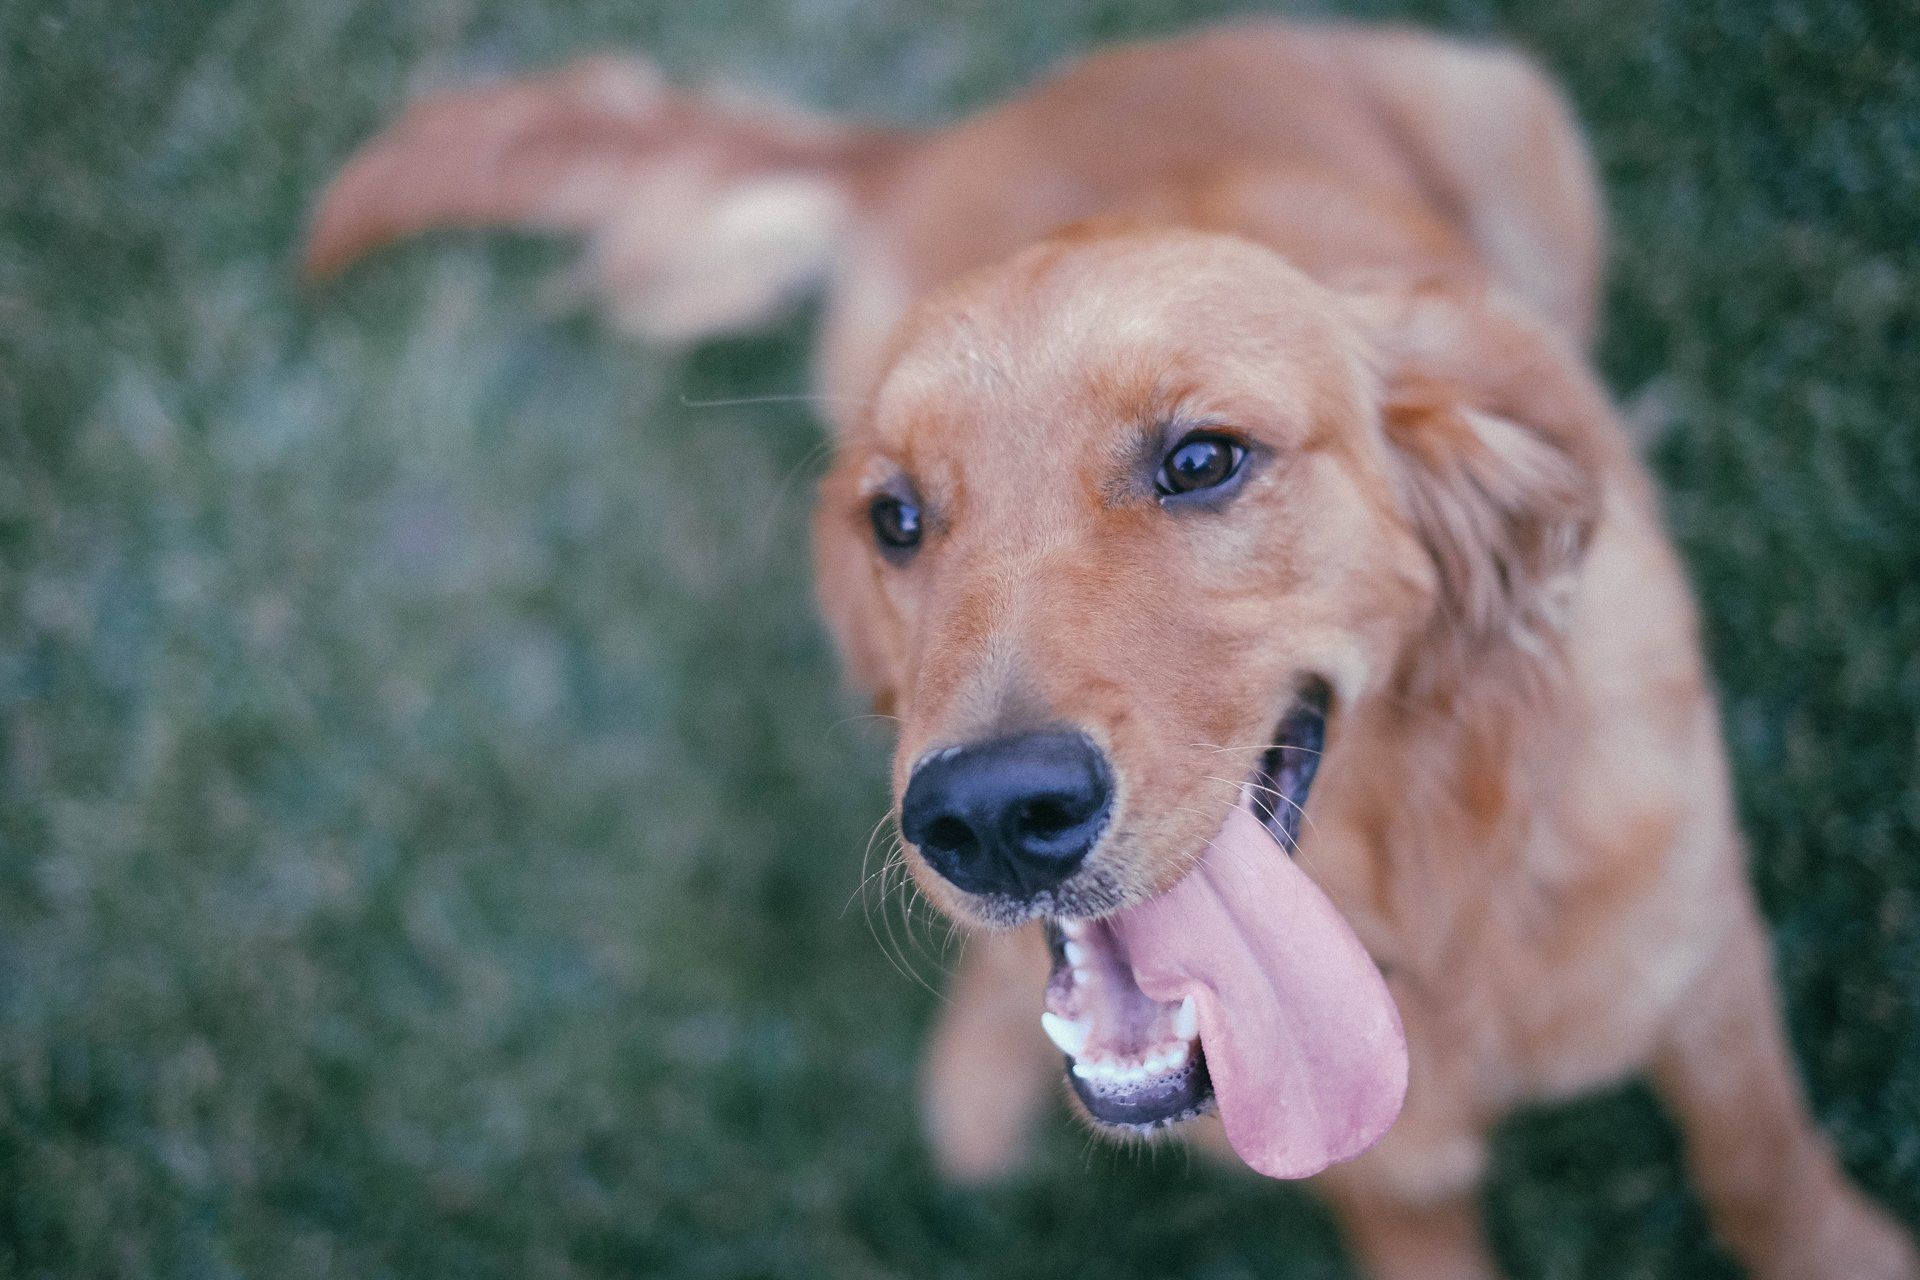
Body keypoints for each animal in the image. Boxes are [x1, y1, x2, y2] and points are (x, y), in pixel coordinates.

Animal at [307, 20, 1912, 1280]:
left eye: (1203, 459)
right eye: (896, 517)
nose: (989, 818)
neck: (1419, 907)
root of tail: (953, 129)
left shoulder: (1709, 969)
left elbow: (1761, 1167)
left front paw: (1844, 1253)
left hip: (1510, 117)